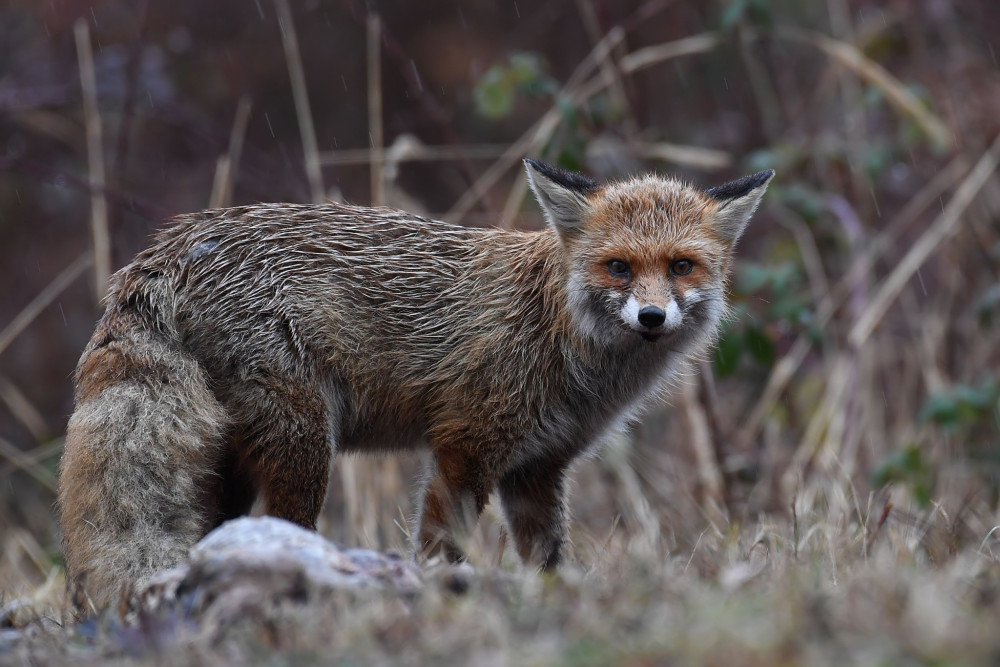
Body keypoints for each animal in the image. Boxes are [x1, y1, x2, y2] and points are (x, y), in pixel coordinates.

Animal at [56, 159, 772, 612]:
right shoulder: (466, 446)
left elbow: (547, 560)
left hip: (233, 464)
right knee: (280, 530)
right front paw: (437, 599)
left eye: (680, 267)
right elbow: (441, 547)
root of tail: (167, 247)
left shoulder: (537, 469)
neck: (558, 337)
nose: (652, 317)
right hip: (305, 450)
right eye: (619, 268)